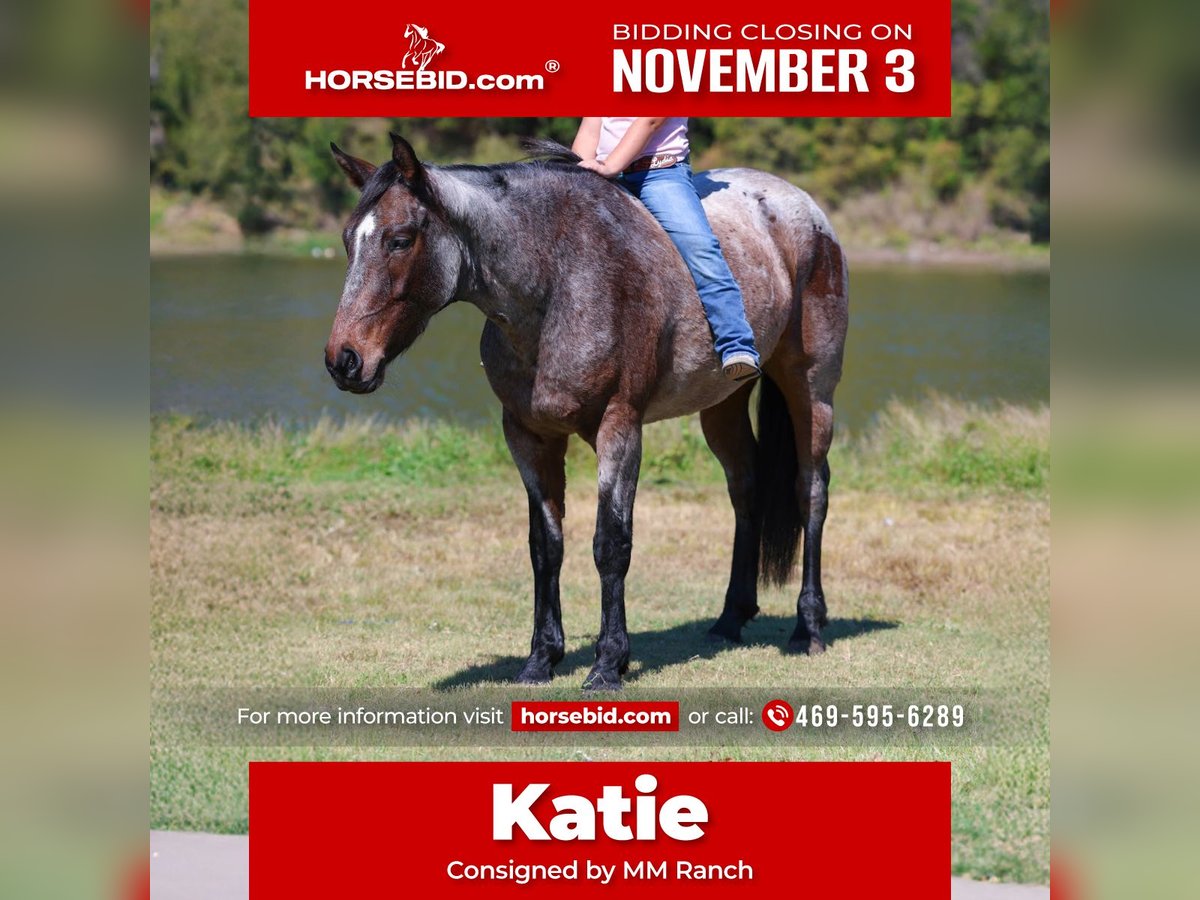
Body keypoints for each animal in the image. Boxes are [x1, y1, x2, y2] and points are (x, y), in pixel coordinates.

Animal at [325, 133, 849, 690]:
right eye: (348, 240)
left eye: (400, 240)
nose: (344, 360)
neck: (559, 280)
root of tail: (807, 211)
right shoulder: (527, 436)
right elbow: (545, 546)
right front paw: (540, 659)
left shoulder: (620, 428)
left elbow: (610, 544)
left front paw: (608, 664)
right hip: (723, 404)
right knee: (746, 488)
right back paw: (730, 619)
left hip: (811, 387)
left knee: (811, 490)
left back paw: (807, 628)